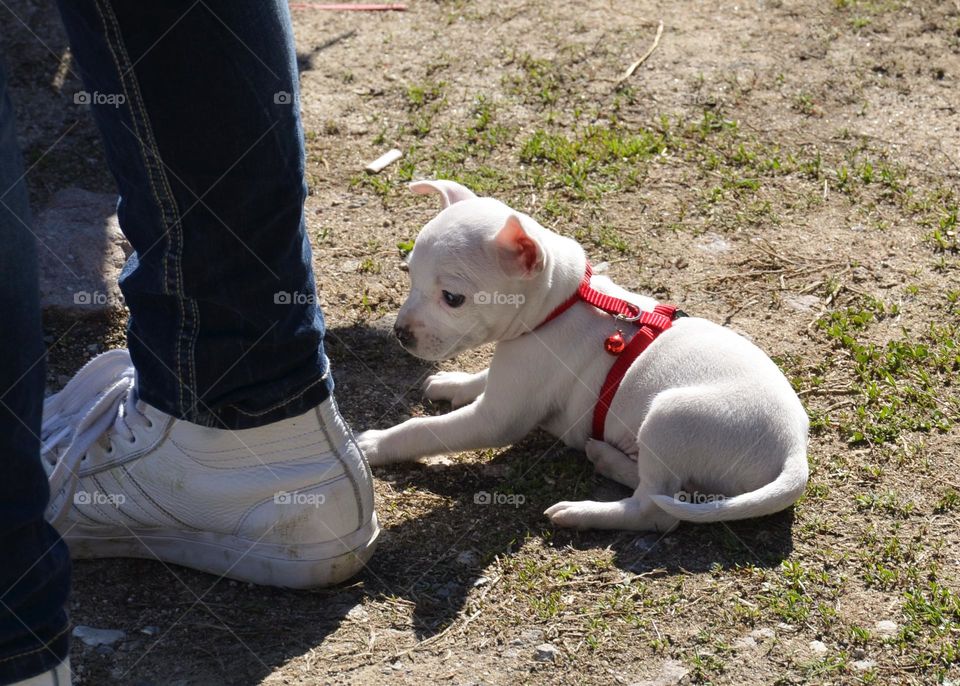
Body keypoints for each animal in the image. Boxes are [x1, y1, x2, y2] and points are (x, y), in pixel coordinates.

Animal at [356, 180, 808, 536]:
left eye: (452, 298)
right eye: (409, 276)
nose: (400, 334)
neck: (561, 304)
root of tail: (794, 453)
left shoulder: (498, 417)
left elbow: (423, 429)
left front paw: (376, 443)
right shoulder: (510, 372)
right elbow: (481, 377)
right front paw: (452, 382)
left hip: (671, 416)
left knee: (656, 510)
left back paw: (583, 511)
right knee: (669, 492)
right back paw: (610, 459)